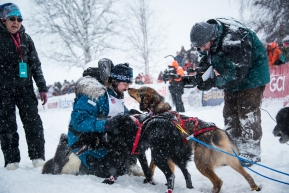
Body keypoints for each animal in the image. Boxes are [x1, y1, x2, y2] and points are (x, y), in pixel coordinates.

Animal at [127, 86, 260, 193]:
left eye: (139, 91)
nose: (128, 88)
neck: (161, 110)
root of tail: (215, 131)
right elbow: (169, 169)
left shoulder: (160, 150)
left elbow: (151, 166)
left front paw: (148, 179)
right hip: (233, 161)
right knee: (248, 176)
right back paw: (255, 187)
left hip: (201, 164)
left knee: (218, 182)